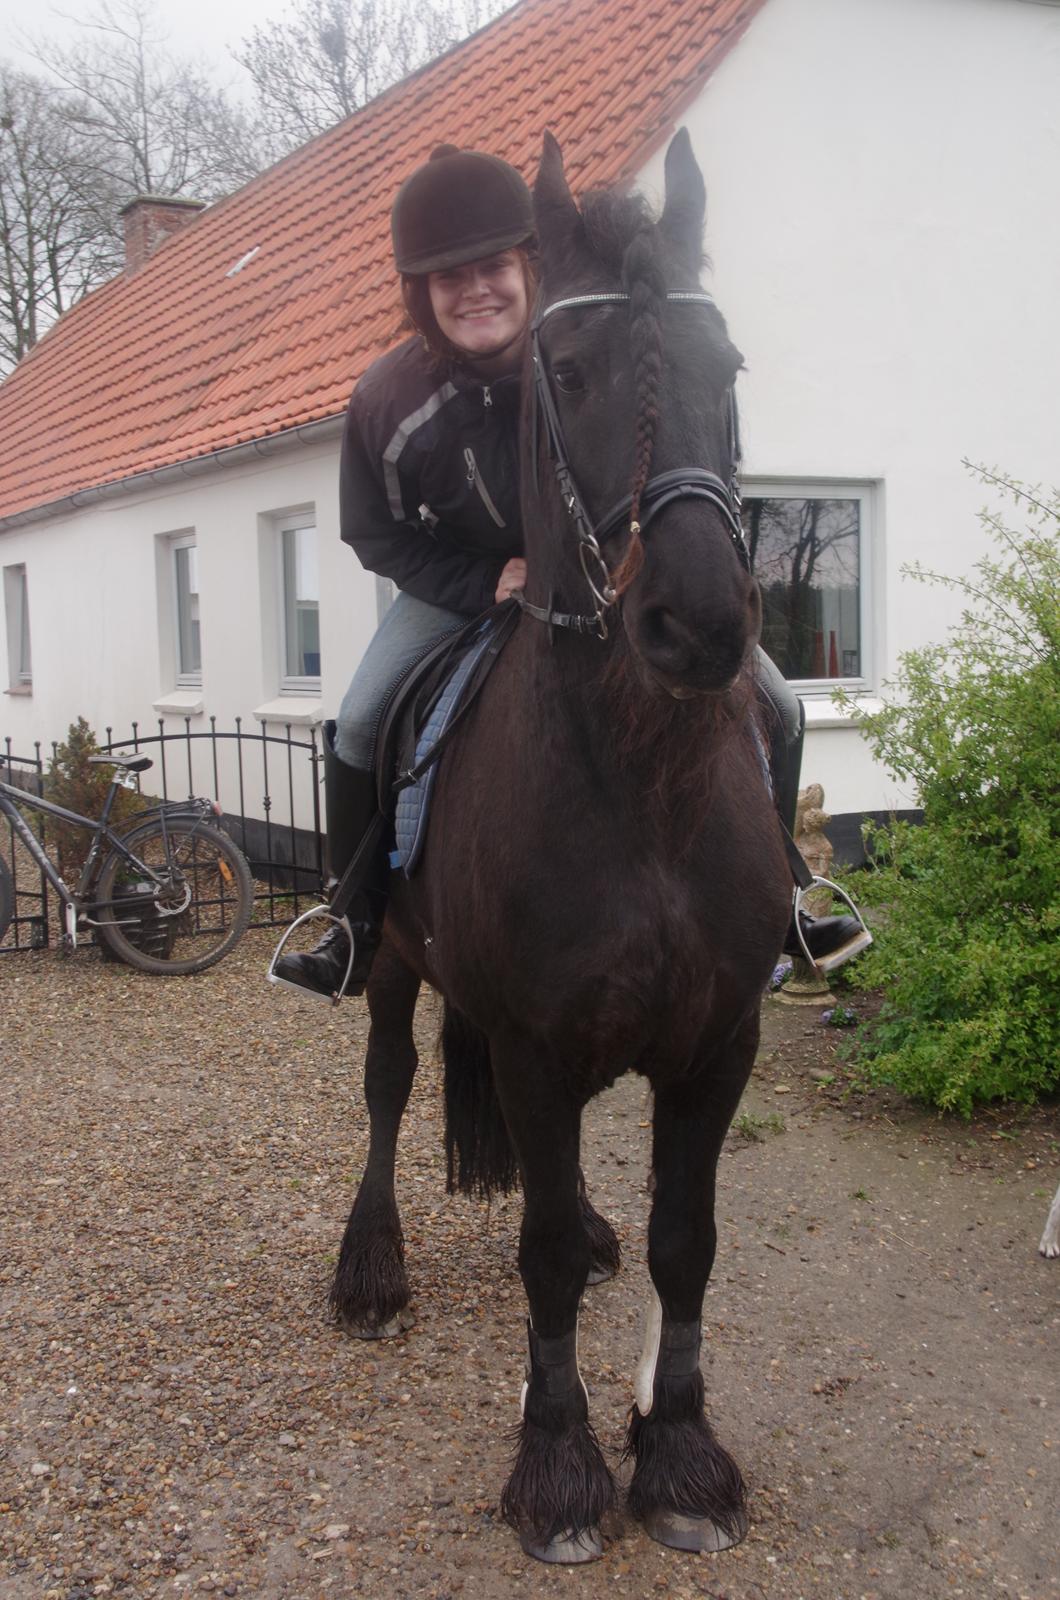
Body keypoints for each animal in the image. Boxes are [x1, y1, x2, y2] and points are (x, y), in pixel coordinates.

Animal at [328, 134, 794, 1561]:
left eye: (727, 368)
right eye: (572, 374)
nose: (697, 620)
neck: (644, 795)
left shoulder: (716, 1043)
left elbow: (685, 1240)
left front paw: (681, 1453)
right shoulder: (531, 1044)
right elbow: (531, 1253)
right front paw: (560, 1466)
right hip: (391, 967)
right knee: (385, 1091)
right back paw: (369, 1265)